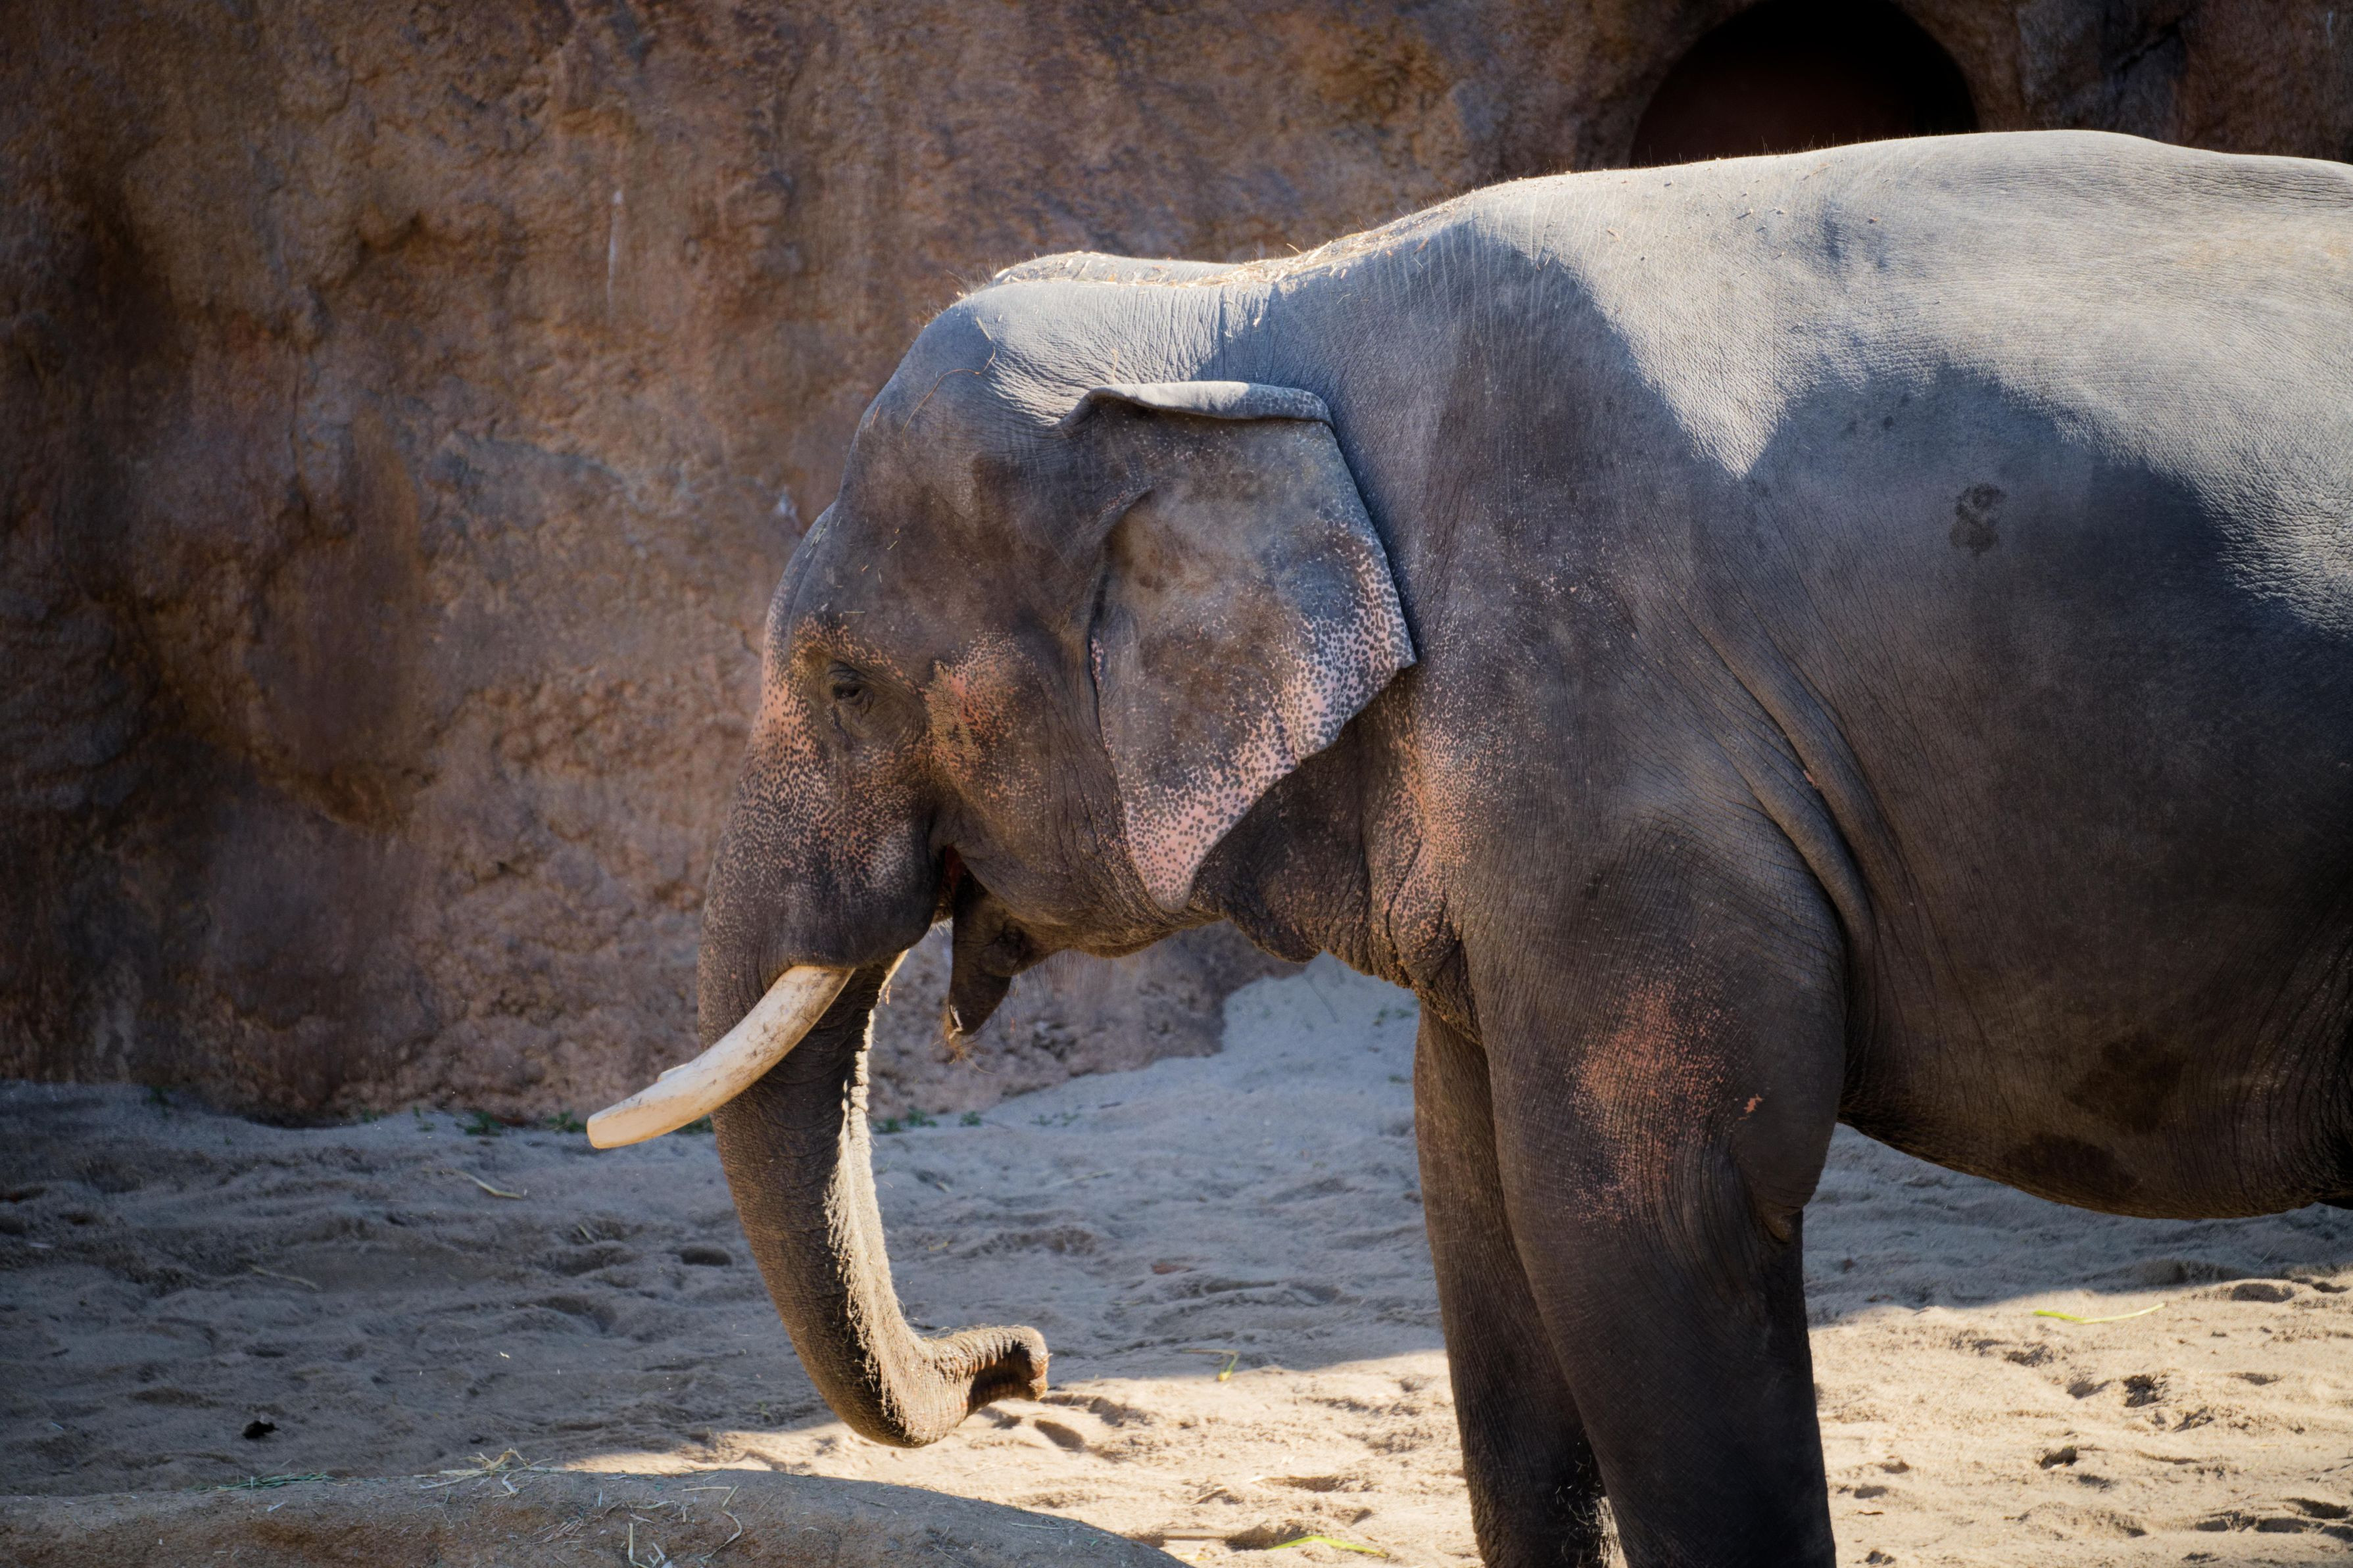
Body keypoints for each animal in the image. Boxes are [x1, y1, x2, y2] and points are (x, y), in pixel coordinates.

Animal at [586, 131, 2353, 1566]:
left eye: (841, 679)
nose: (1022, 1355)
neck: (1253, 312)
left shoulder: (1620, 749)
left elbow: (1650, 1211)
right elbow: (1474, 1196)